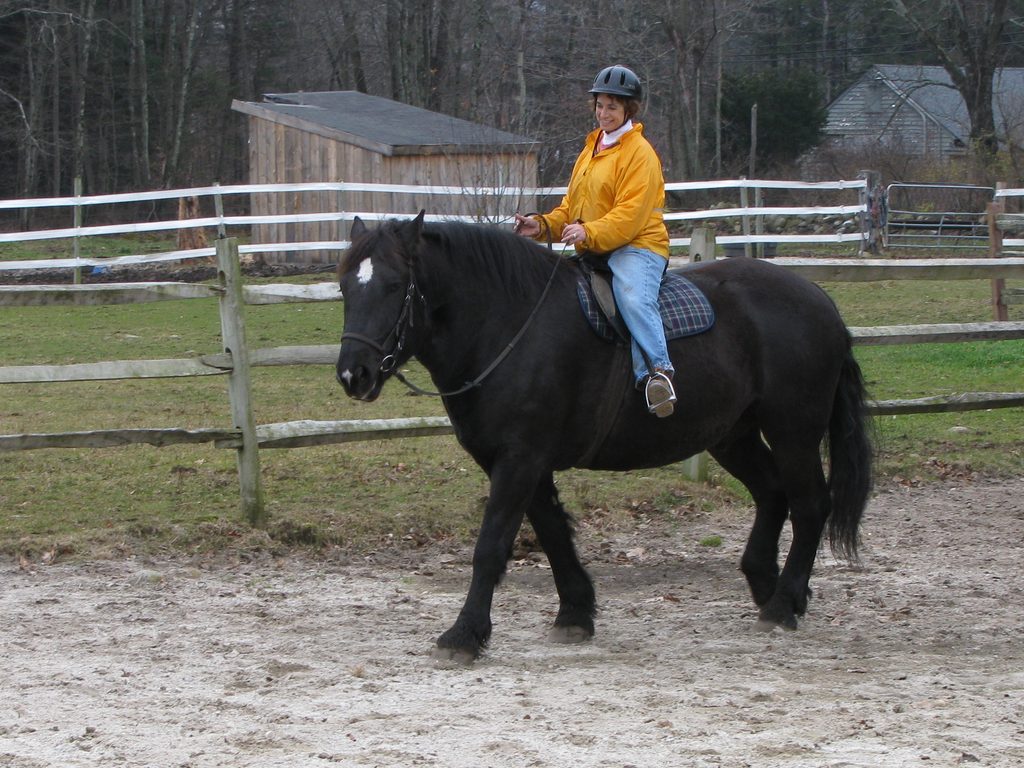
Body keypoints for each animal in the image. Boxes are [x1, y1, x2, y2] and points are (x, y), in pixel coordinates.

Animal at [337, 214, 872, 663]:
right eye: (344, 286)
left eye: (393, 286)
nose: (352, 375)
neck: (508, 326)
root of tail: (819, 299)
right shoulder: (523, 463)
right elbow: (553, 533)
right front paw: (575, 612)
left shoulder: (520, 460)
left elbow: (492, 545)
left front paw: (465, 633)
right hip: (733, 436)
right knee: (773, 495)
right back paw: (770, 588)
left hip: (793, 432)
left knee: (810, 505)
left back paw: (783, 603)